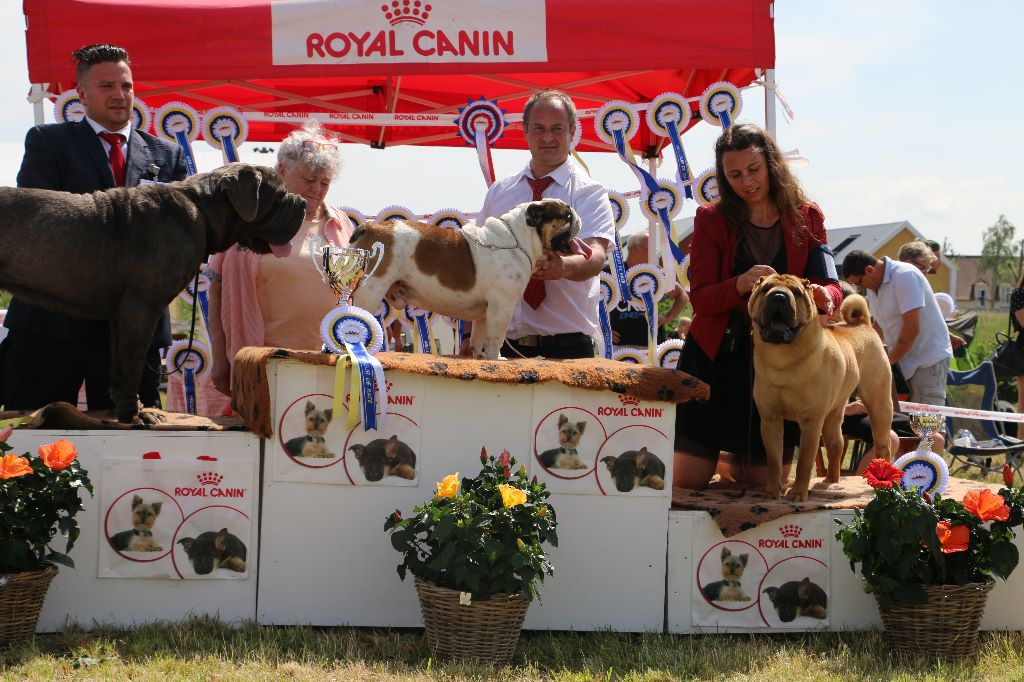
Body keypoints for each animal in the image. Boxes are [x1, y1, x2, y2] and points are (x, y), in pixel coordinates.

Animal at [0, 161, 303, 421]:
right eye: (279, 197)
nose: (302, 202)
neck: (202, 211)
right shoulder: (141, 309)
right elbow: (132, 363)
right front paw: (134, 416)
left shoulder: (120, 318)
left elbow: (119, 366)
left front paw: (126, 410)